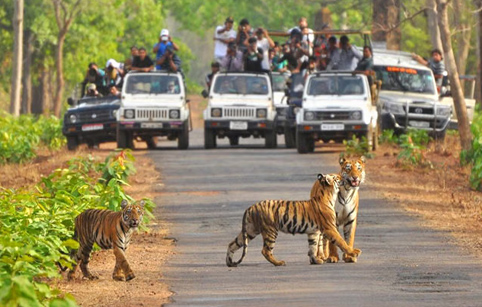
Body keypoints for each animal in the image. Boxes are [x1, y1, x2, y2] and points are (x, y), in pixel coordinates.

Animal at [227, 174, 362, 268]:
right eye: (336, 177)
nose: (343, 177)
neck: (329, 195)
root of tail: (251, 207)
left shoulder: (313, 232)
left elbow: (312, 247)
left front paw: (315, 260)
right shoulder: (330, 228)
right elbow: (341, 241)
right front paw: (354, 252)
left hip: (250, 230)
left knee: (233, 243)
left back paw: (229, 262)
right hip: (270, 230)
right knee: (266, 250)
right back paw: (279, 263)